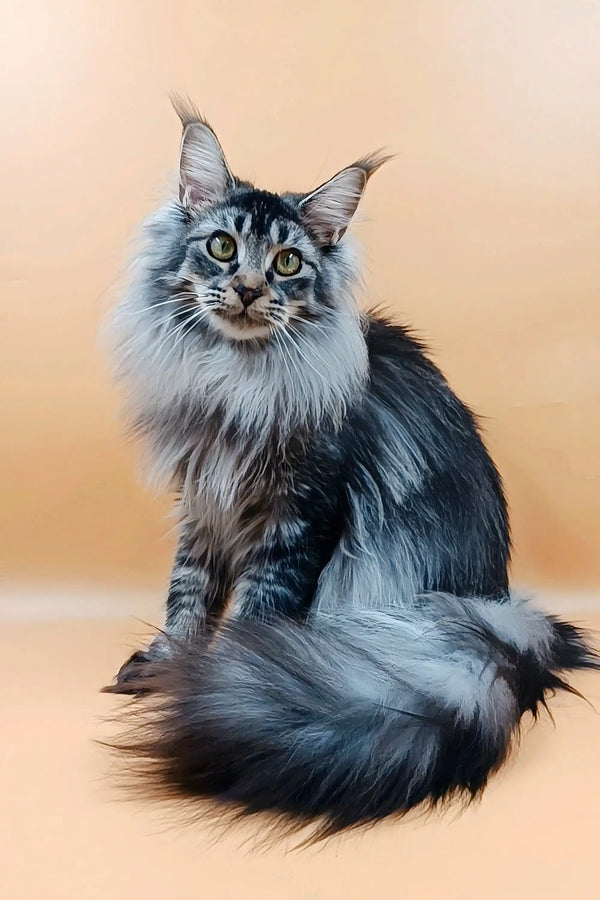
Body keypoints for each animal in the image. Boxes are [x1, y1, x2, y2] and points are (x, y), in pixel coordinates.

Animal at [105, 102, 596, 840]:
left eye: (286, 262)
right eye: (222, 248)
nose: (248, 289)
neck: (234, 382)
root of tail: (499, 608)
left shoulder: (300, 516)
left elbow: (255, 610)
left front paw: (218, 682)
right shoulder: (204, 501)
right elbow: (186, 594)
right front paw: (170, 663)